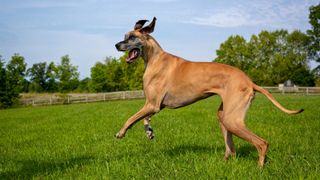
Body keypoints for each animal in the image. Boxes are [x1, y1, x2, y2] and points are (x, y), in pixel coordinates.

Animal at [114, 16, 302, 166]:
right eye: (125, 37)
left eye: (132, 37)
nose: (116, 45)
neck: (155, 58)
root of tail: (249, 81)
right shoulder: (154, 105)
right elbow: (144, 119)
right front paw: (149, 132)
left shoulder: (152, 104)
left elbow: (131, 118)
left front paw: (121, 132)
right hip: (224, 116)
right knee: (231, 149)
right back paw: (224, 163)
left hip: (232, 120)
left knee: (262, 143)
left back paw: (259, 167)